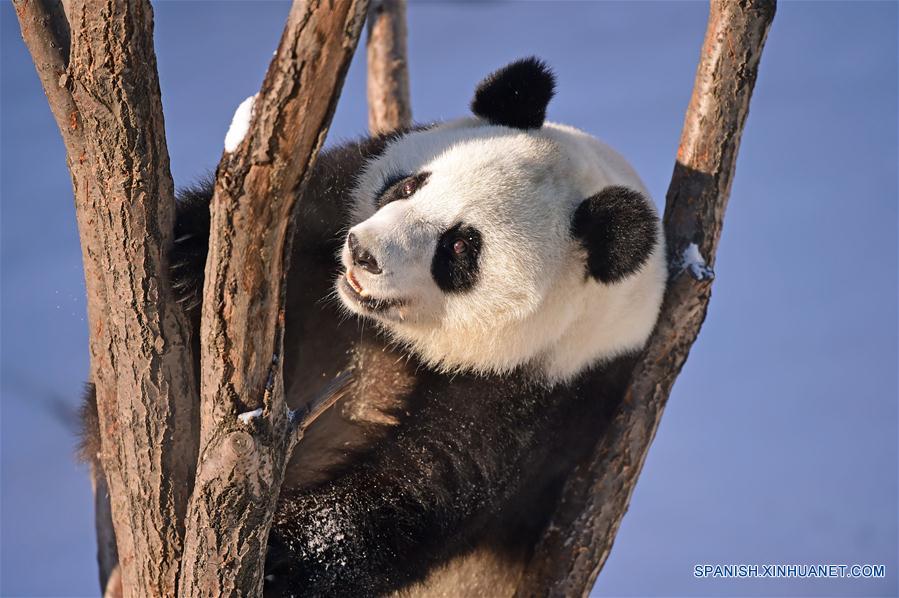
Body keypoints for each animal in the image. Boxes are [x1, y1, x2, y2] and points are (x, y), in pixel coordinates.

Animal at [81, 57, 664, 598]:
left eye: (459, 247)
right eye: (408, 186)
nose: (363, 254)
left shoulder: (546, 395)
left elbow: (425, 484)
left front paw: (282, 557)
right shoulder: (340, 194)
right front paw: (189, 262)